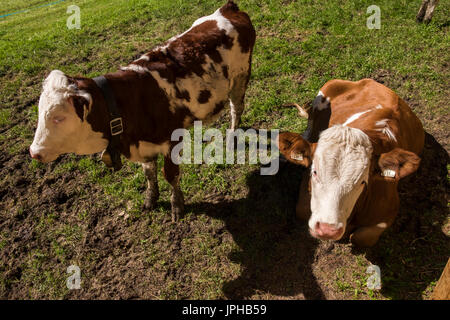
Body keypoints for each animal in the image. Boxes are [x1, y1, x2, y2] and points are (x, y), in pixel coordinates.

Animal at [29, 1, 256, 222]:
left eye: (59, 118)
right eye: (40, 114)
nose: (33, 152)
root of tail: (227, 9)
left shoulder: (171, 140)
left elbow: (170, 174)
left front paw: (177, 205)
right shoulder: (144, 147)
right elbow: (149, 174)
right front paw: (150, 199)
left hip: (240, 78)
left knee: (236, 108)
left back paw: (232, 135)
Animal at [280, 79, 424, 248]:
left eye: (363, 182)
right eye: (314, 172)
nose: (327, 230)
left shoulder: (390, 210)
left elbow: (360, 237)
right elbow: (302, 209)